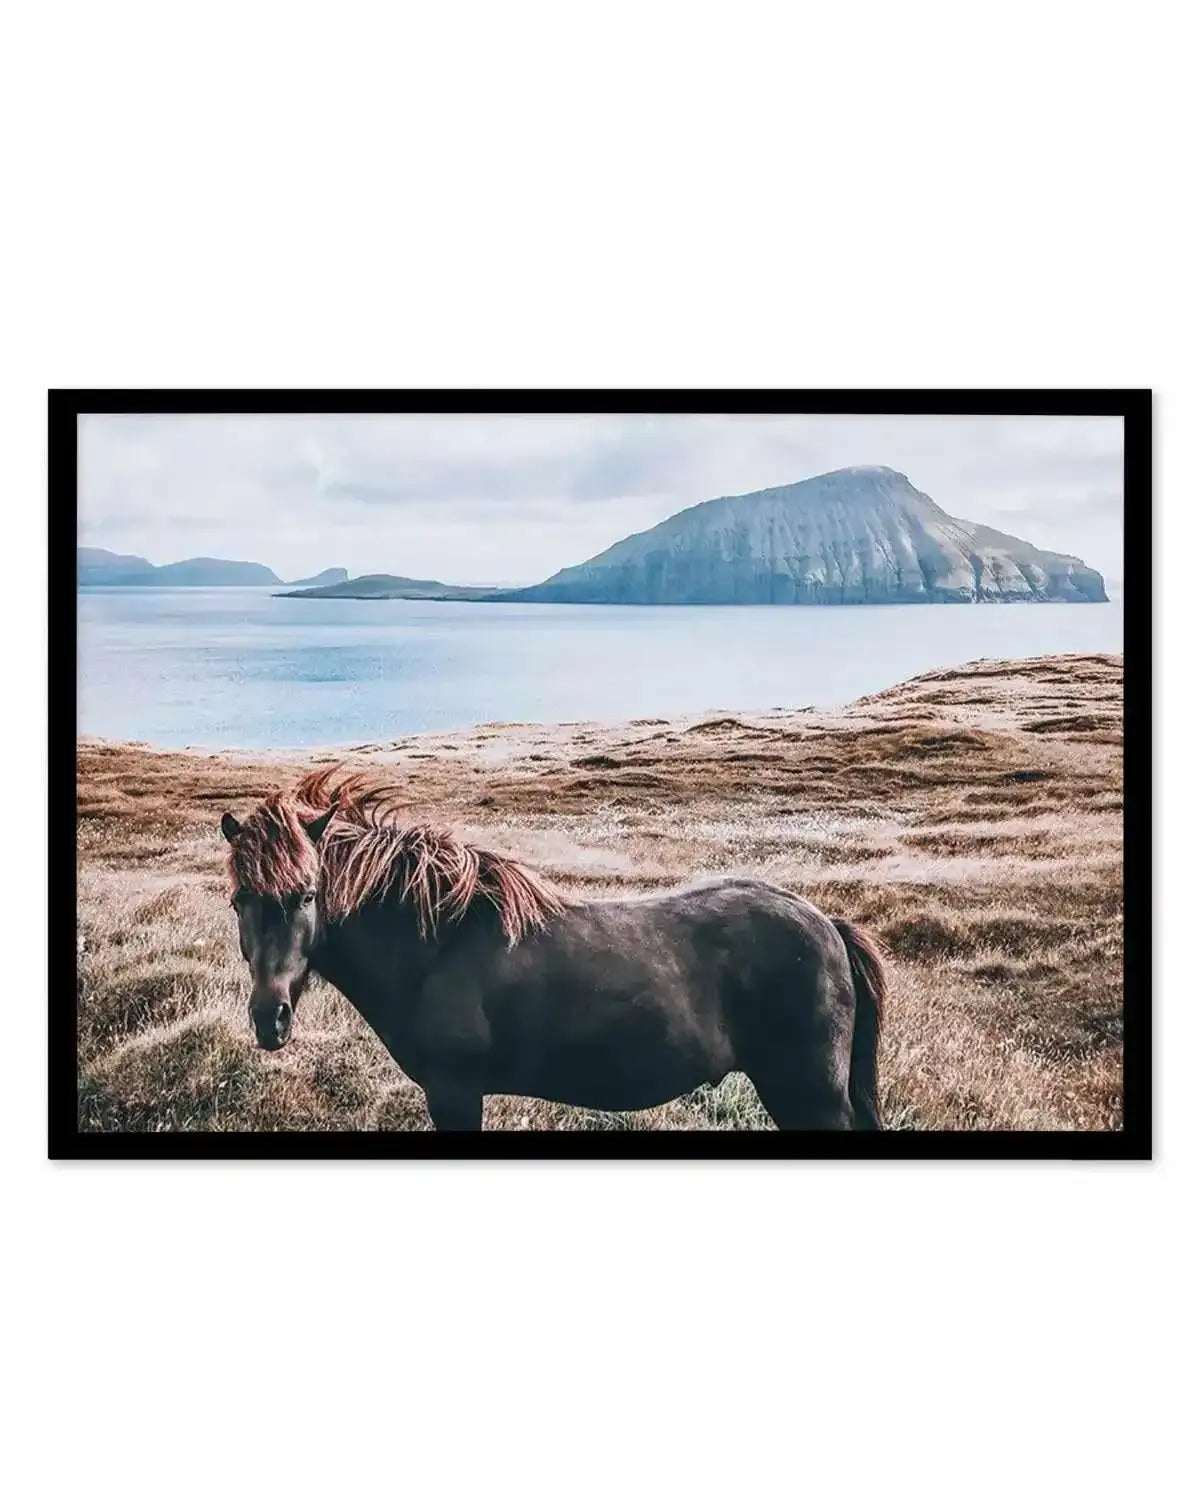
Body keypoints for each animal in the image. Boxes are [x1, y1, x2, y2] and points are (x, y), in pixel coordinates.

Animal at [220, 768, 886, 1130]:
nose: (270, 1019)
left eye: (307, 895)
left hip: (808, 1094)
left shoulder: (454, 1092)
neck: (435, 946)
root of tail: (828, 924)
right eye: (237, 900)